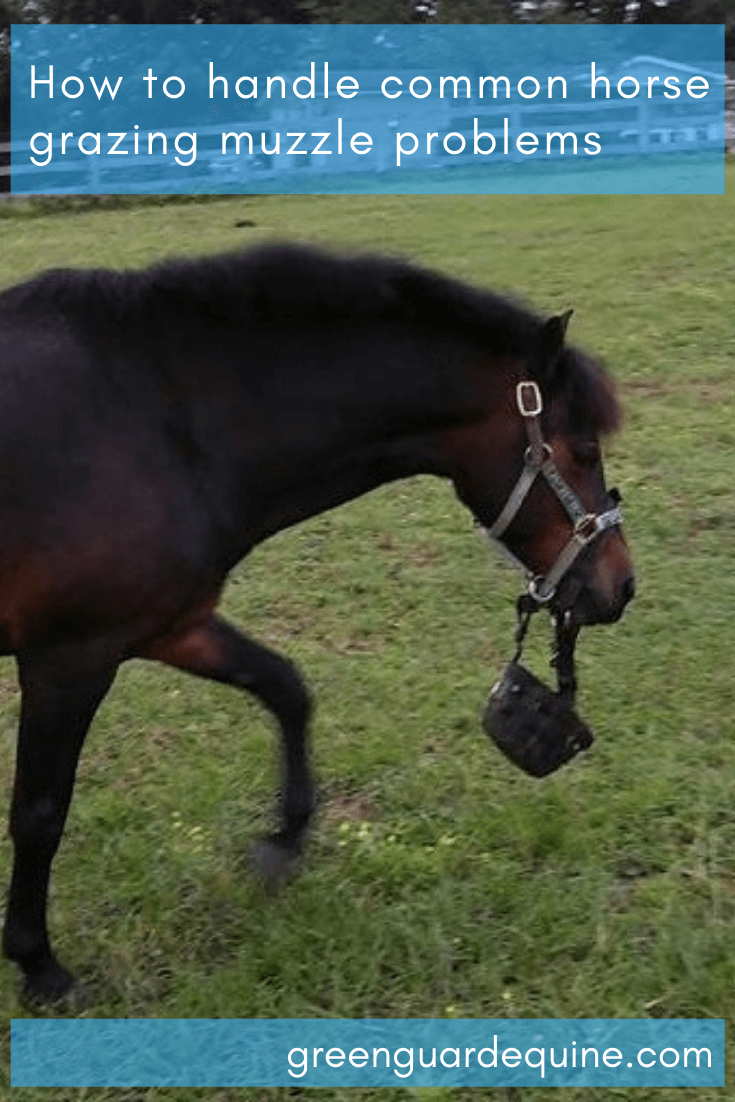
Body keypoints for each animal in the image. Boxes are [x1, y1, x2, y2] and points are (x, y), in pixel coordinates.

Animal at [0, 243, 634, 1009]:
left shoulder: (172, 626)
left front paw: (283, 841)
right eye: (581, 449)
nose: (620, 585)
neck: (152, 417)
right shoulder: (69, 659)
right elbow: (39, 813)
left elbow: (286, 689)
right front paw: (39, 965)